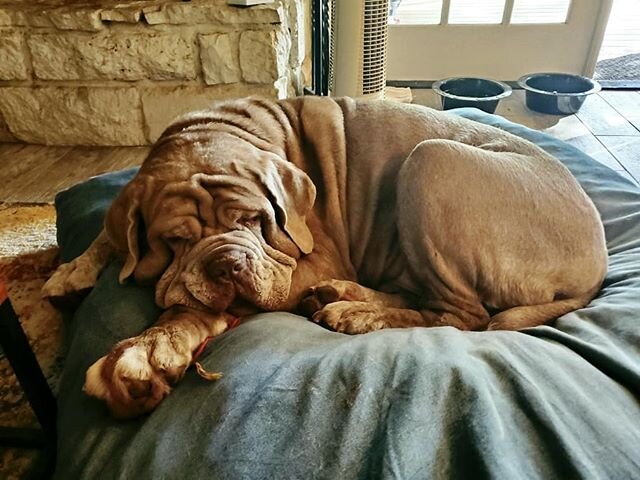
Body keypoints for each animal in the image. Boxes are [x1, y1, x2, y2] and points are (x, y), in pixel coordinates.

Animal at [42, 95, 608, 418]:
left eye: (253, 220)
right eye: (175, 240)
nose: (227, 263)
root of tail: (597, 267)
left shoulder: (305, 260)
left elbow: (190, 307)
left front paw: (148, 349)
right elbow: (114, 235)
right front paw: (73, 270)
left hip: (431, 161)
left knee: (461, 315)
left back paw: (356, 311)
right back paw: (345, 298)